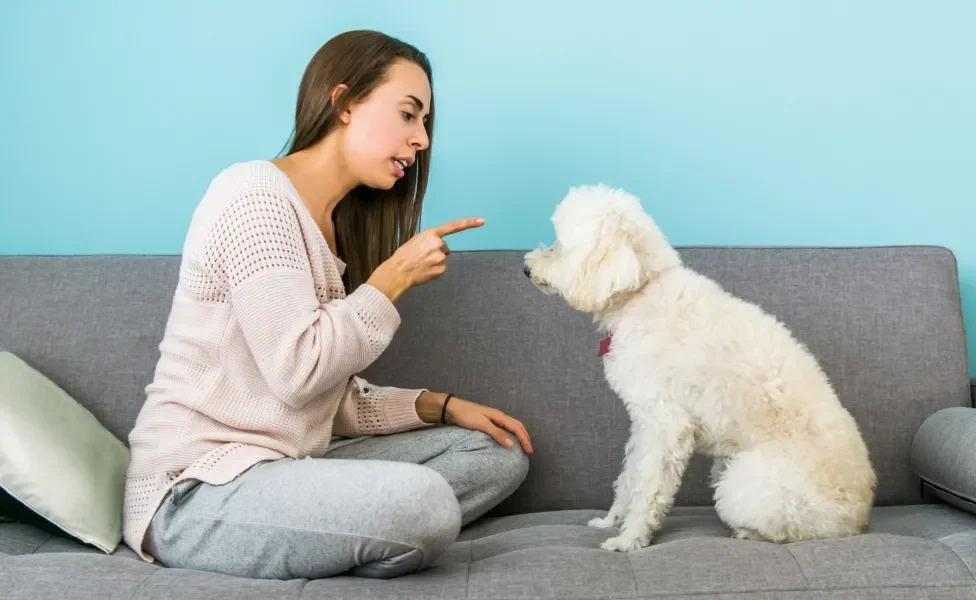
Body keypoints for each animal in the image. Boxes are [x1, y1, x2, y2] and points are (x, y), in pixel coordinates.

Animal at [528, 184, 876, 552]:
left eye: (559, 244)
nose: (526, 268)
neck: (643, 292)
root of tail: (860, 517)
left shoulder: (666, 425)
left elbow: (648, 488)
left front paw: (629, 539)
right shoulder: (643, 423)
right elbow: (629, 477)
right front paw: (612, 521)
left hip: (748, 484)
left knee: (792, 530)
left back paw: (748, 532)